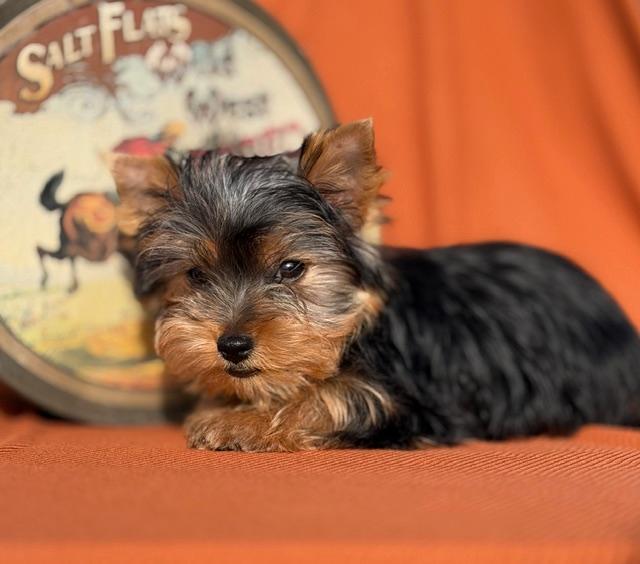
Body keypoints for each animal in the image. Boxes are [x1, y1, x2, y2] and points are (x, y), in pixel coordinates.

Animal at [108, 119, 640, 451]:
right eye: (195, 275)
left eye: (290, 269)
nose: (232, 345)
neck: (357, 322)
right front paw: (225, 406)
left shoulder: (412, 402)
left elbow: (331, 397)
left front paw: (237, 421)